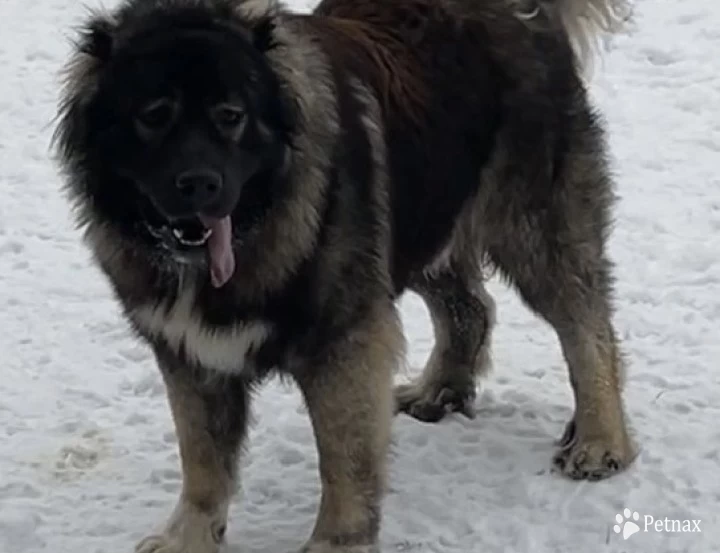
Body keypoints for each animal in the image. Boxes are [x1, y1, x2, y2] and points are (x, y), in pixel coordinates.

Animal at [53, 0, 632, 548]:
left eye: (231, 116)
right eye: (153, 116)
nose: (201, 184)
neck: (252, 225)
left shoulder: (343, 345)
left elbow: (343, 461)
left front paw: (338, 541)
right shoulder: (189, 352)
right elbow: (202, 461)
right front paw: (189, 538)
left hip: (531, 226)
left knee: (588, 328)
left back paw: (600, 439)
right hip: (421, 215)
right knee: (470, 308)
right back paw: (441, 388)